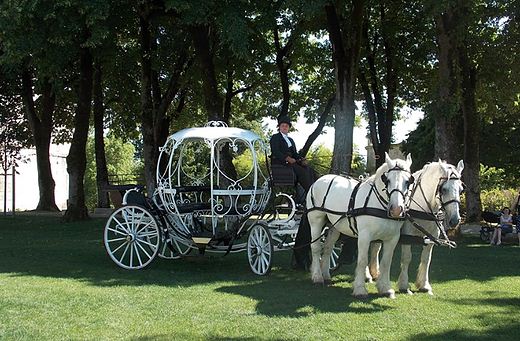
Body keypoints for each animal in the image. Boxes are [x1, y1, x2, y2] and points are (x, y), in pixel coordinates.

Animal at [306, 152, 412, 298]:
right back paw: (317, 276)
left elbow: (386, 262)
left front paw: (385, 288)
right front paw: (360, 289)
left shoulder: (392, 238)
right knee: (316, 247)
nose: (396, 209)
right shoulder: (364, 236)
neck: (378, 203)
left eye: (408, 181)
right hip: (316, 220)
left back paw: (326, 275)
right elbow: (362, 260)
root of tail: (320, 179)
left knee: (327, 247)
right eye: (387, 180)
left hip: (334, 225)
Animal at [368, 161, 466, 294]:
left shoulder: (432, 236)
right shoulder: (407, 235)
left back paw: (375, 273)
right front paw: (404, 285)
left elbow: (426, 259)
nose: (455, 220)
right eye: (444, 189)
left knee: (375, 248)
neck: (424, 207)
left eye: (461, 190)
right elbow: (406, 258)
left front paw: (424, 284)